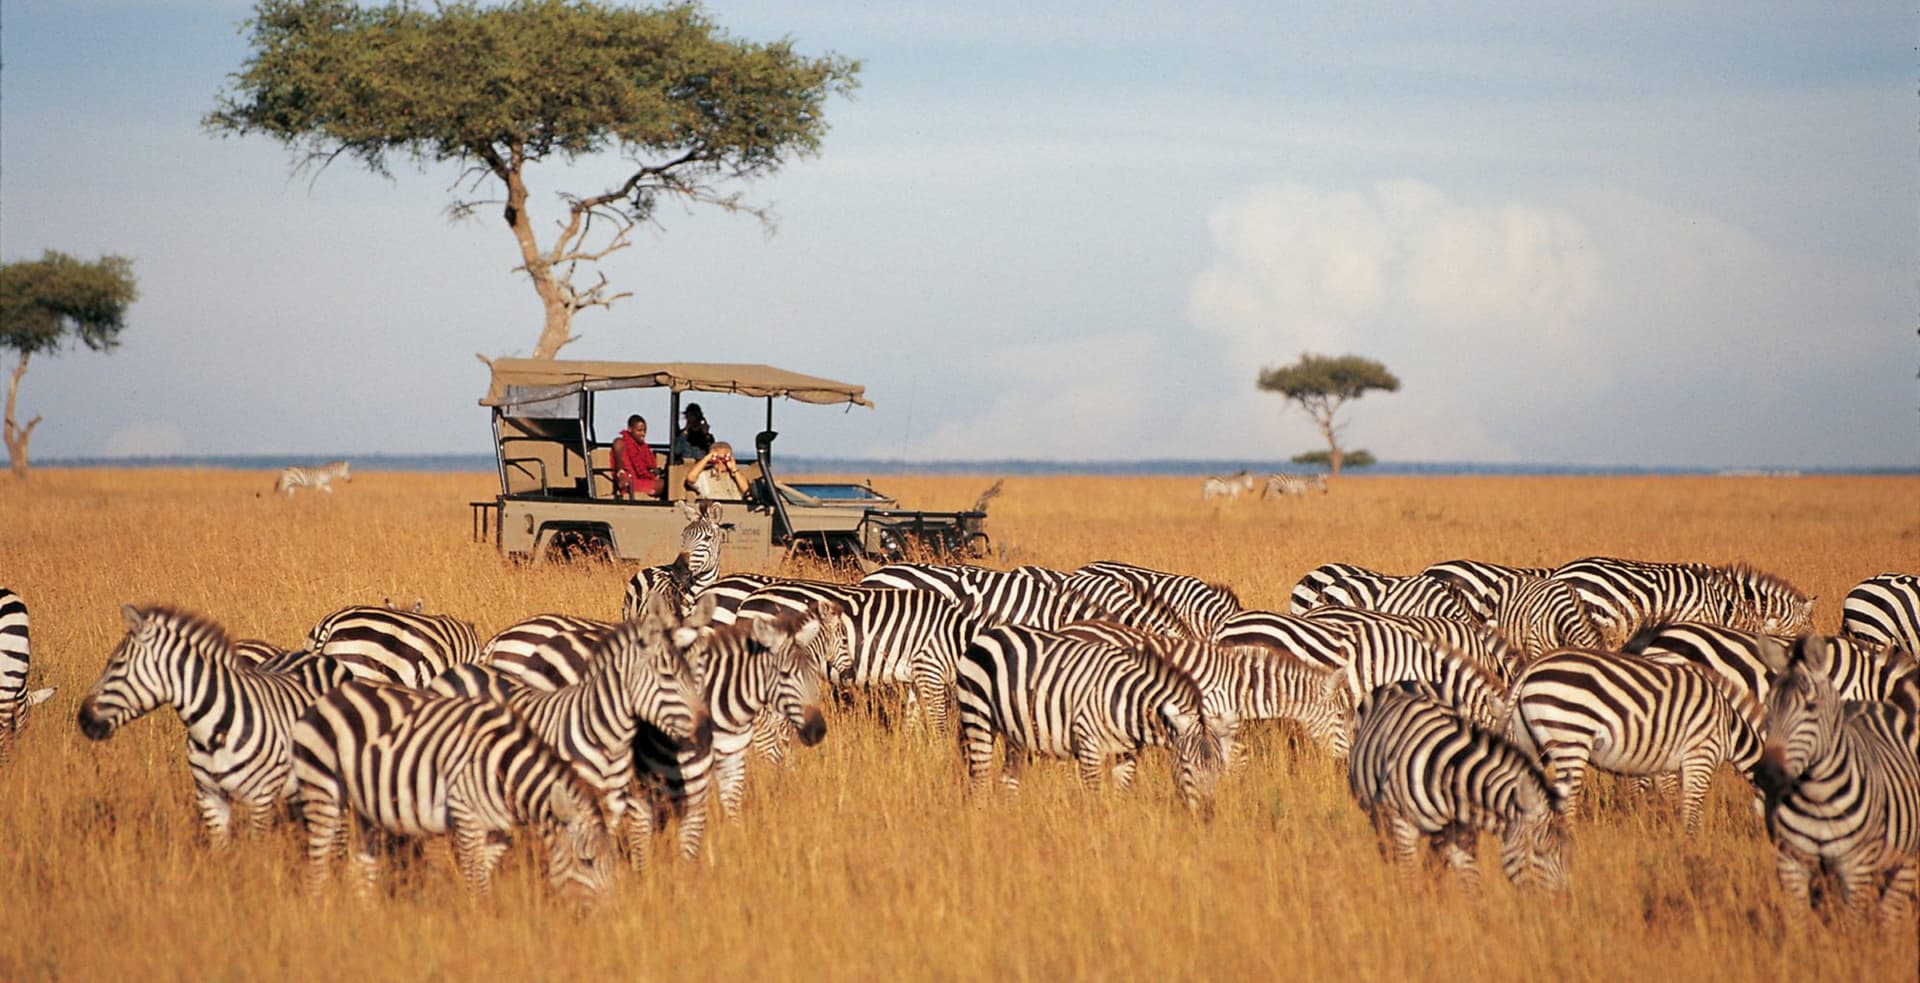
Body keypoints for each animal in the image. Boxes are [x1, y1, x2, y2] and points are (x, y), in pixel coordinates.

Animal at [291, 679, 616, 899]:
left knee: (360, 869)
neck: (504, 769)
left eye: (610, 863)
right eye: (587, 862)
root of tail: (330, 696)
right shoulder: (466, 816)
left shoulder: (498, 832)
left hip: (365, 808)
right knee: (317, 866)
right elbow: (476, 881)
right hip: (321, 788)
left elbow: (483, 876)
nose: (609, 916)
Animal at [956, 623, 1235, 818]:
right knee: (979, 781)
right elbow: (1095, 798)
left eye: (1219, 766)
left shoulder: (1126, 754)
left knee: (1008, 780)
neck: (1128, 701)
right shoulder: (1089, 745)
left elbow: (1120, 796)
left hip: (1016, 732)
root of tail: (990, 632)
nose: (1208, 815)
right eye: (1186, 764)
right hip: (977, 716)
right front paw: (1097, 830)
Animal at [1347, 681, 1571, 894]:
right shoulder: (1403, 826)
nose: (1564, 901)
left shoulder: (1462, 833)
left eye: (1568, 852)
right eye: (1538, 851)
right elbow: (1408, 878)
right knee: (1389, 853)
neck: (1446, 774)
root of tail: (1404, 681)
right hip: (1377, 816)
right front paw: (1410, 905)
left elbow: (1471, 885)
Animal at [1508, 648, 1765, 835]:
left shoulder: (1668, 762)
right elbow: (1691, 806)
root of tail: (1531, 667)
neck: (1729, 724)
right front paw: (1689, 842)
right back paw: (1572, 839)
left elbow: (1672, 798)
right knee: (1566, 799)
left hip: (1530, 741)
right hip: (1571, 737)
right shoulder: (1701, 755)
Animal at [1755, 634, 1920, 926]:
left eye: (1811, 707)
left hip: (1904, 861)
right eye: (1768, 706)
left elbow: (1851, 926)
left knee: (1888, 914)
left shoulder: (1857, 867)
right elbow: (1798, 924)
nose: (1766, 774)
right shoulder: (1791, 861)